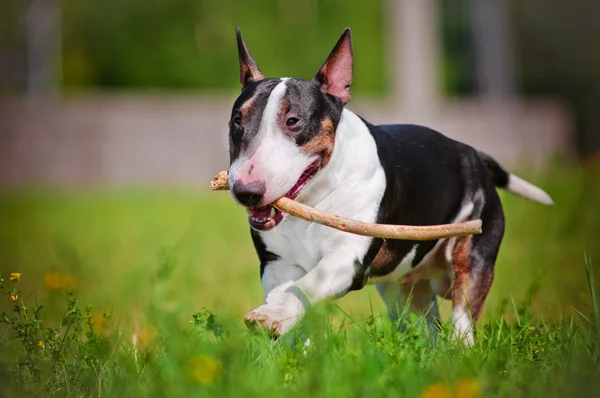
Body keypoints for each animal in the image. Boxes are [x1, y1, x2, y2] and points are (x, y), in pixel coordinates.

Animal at [225, 28, 552, 346]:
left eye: (293, 120)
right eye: (237, 120)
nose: (246, 192)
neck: (312, 202)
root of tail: (474, 155)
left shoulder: (349, 256)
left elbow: (308, 284)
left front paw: (270, 316)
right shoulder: (276, 261)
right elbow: (291, 293)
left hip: (473, 255)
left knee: (463, 316)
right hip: (404, 291)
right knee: (426, 326)